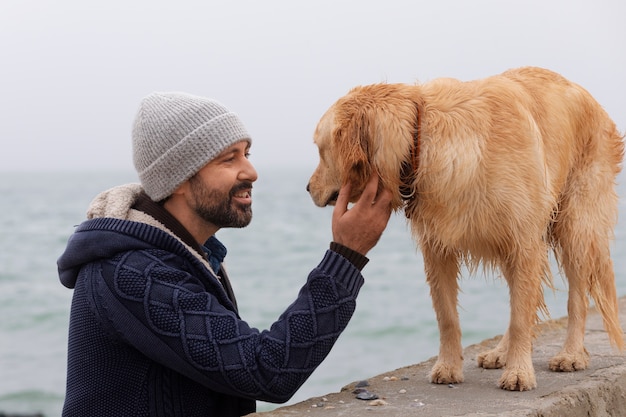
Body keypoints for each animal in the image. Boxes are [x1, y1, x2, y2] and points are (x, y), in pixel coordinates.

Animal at [308, 66, 624, 388]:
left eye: (321, 150)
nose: (308, 188)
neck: (422, 137)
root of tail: (594, 103)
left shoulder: (524, 240)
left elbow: (521, 318)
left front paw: (519, 372)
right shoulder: (439, 248)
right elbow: (449, 316)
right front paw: (449, 366)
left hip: (576, 223)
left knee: (576, 295)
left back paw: (571, 354)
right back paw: (500, 352)